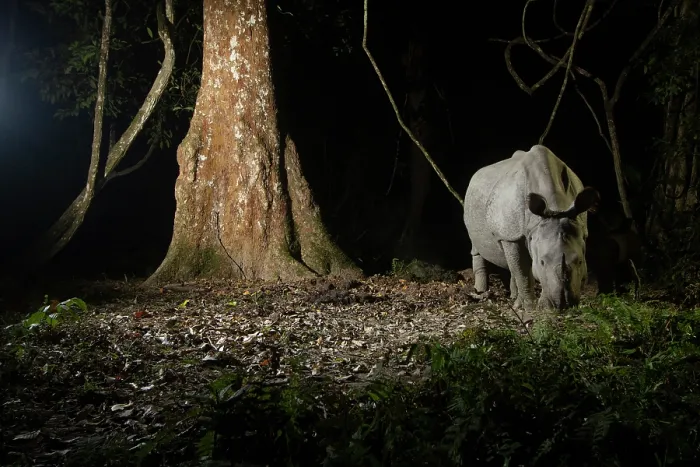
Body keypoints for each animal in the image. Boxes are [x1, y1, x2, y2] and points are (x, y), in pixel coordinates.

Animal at [463, 145, 600, 312]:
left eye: (580, 261)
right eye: (541, 262)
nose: (564, 304)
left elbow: (527, 270)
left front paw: (540, 305)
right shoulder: (511, 237)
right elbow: (522, 271)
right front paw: (530, 308)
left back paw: (514, 298)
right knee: (478, 248)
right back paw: (481, 292)